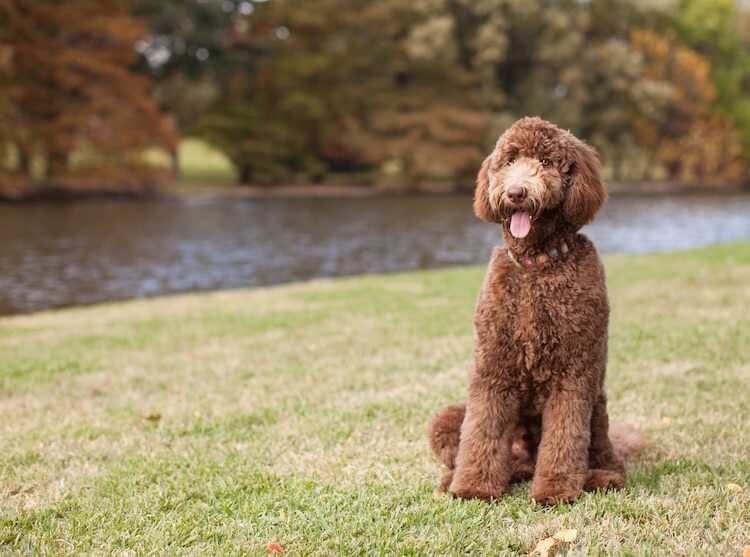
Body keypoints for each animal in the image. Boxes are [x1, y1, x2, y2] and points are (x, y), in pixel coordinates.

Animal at [432, 117, 644, 504]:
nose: (516, 192)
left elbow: (564, 436)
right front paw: (473, 486)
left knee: (605, 459)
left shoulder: (573, 374)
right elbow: (482, 430)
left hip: (598, 411)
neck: (536, 265)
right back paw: (470, 477)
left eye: (545, 162)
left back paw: (597, 477)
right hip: (446, 417)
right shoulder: (492, 367)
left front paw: (555, 489)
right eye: (509, 161)